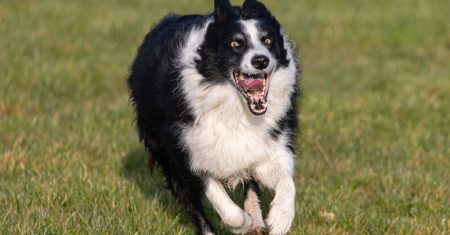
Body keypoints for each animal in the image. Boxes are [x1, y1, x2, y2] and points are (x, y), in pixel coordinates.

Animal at [128, 0, 300, 235]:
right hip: (162, 147)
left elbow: (286, 179)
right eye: (235, 43)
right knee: (188, 198)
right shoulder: (187, 151)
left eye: (268, 40)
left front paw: (280, 218)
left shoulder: (269, 142)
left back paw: (257, 220)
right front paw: (242, 224)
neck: (235, 108)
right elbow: (226, 208)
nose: (261, 61)